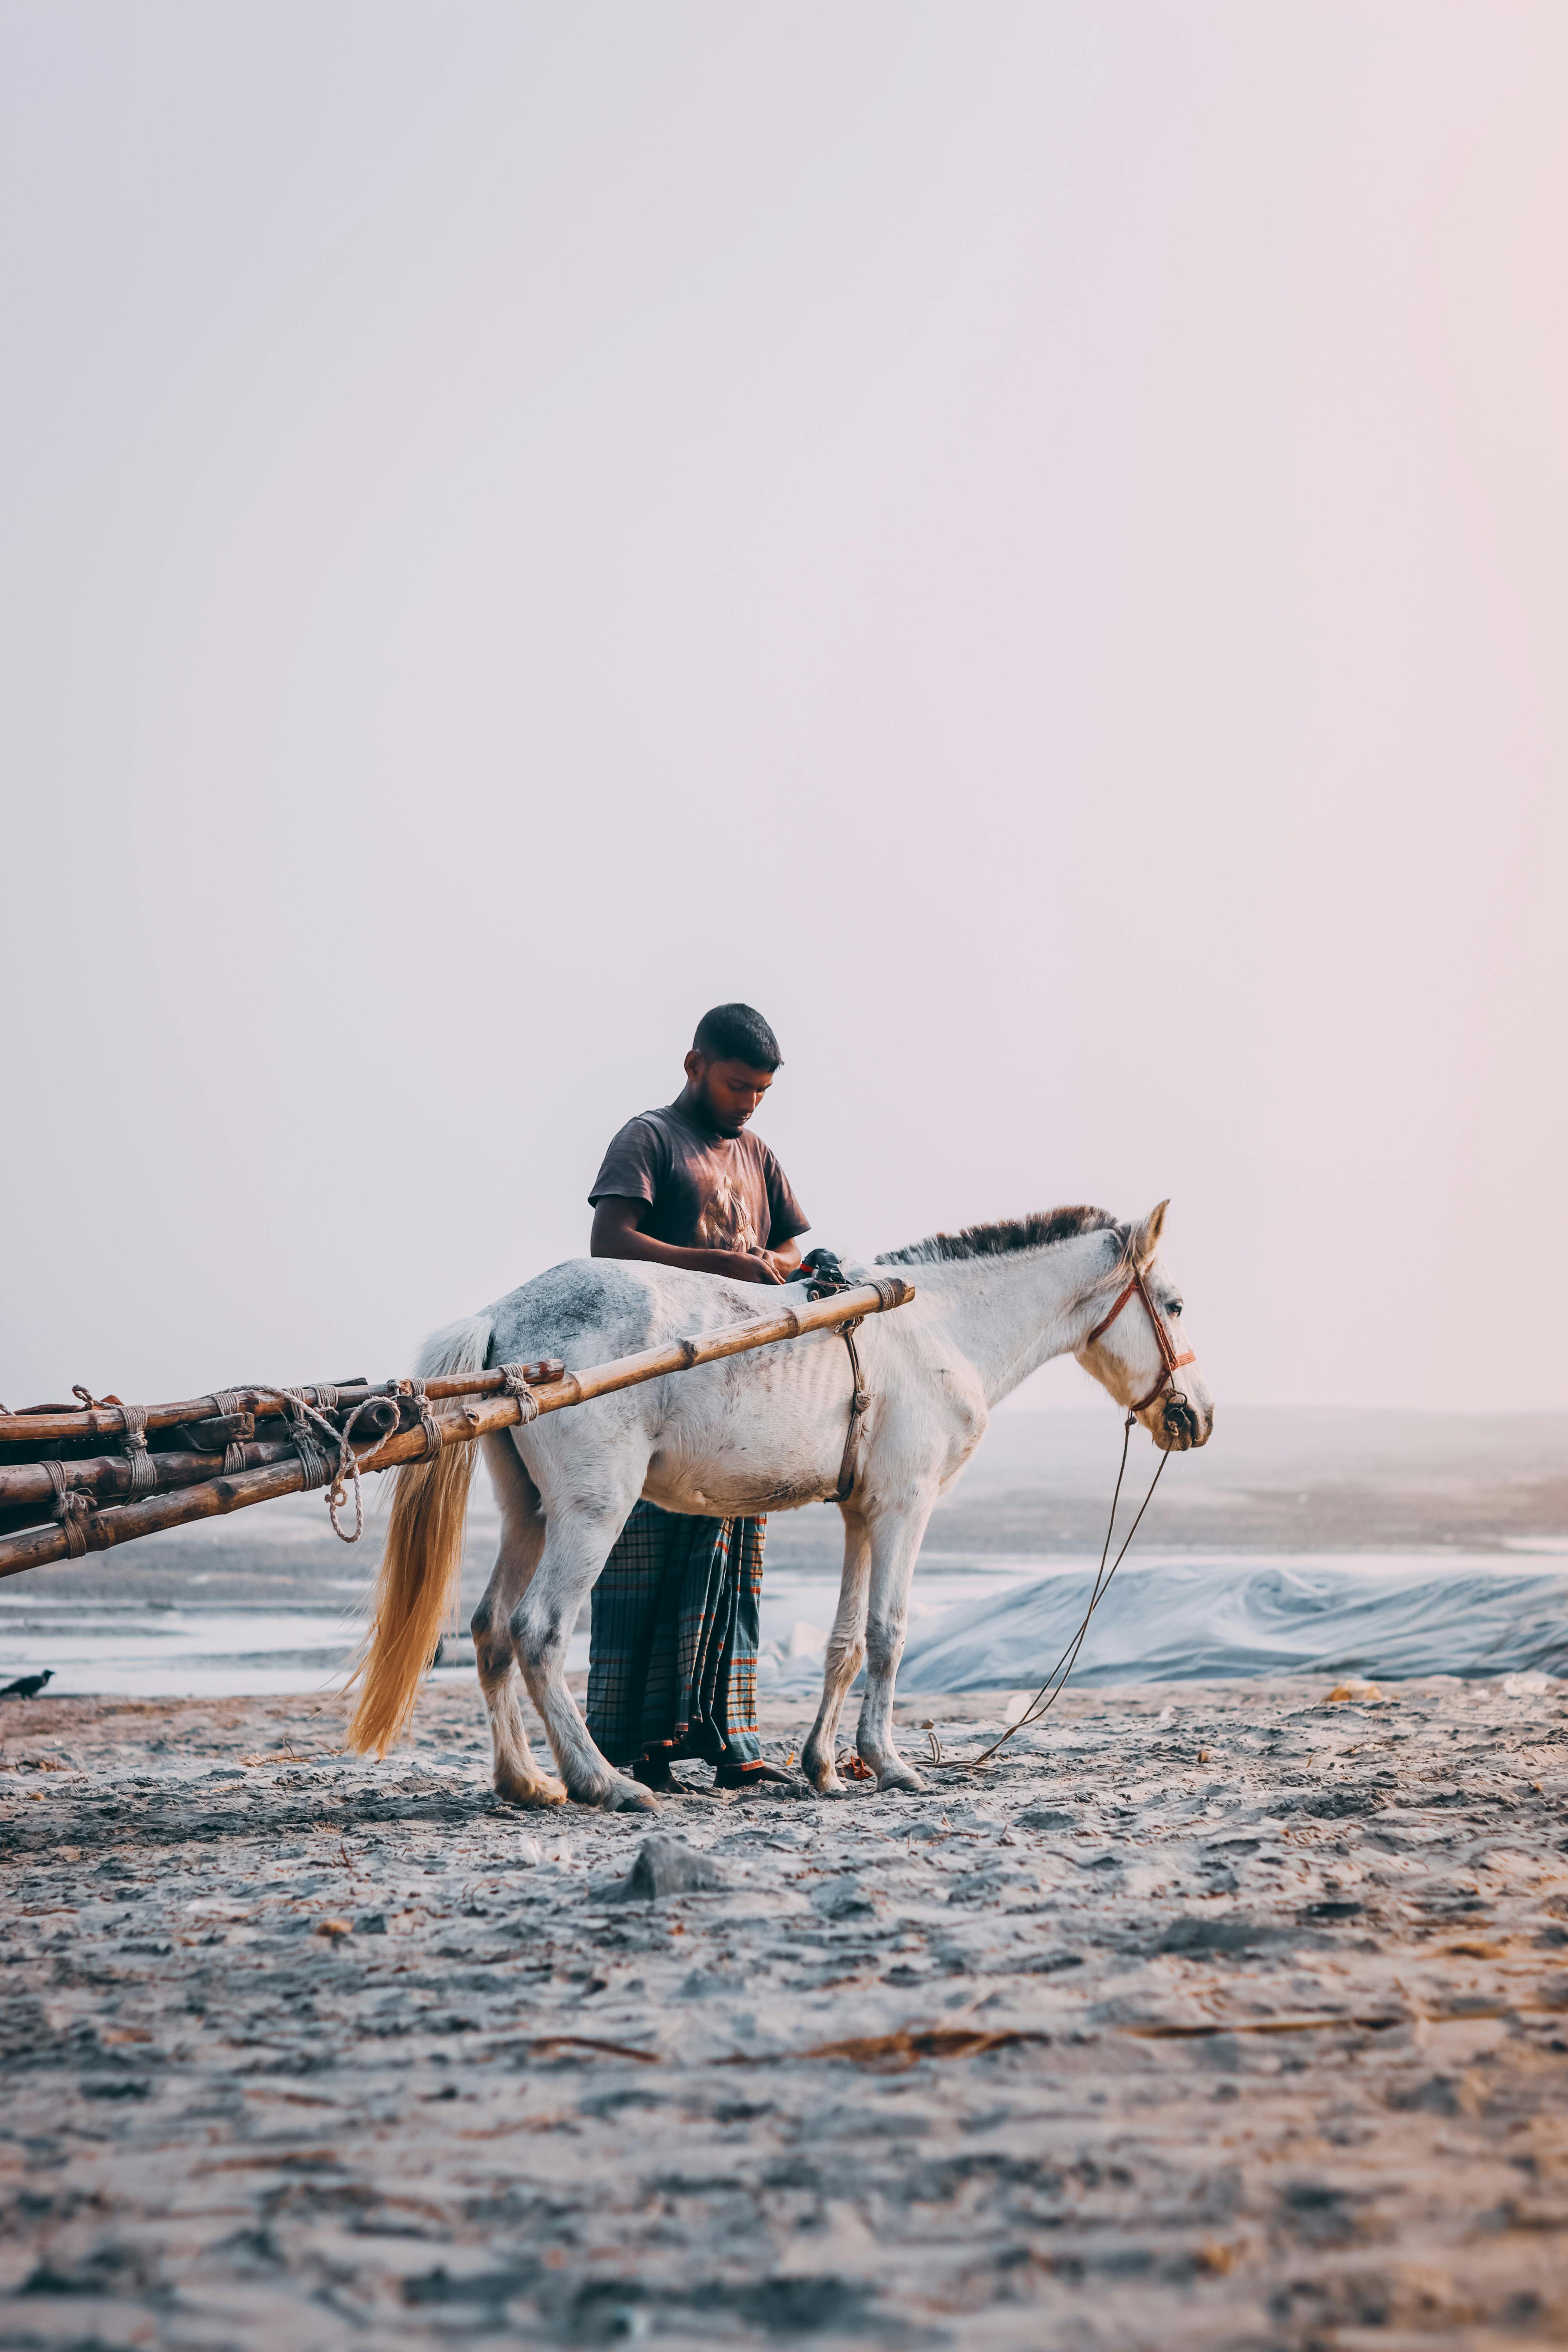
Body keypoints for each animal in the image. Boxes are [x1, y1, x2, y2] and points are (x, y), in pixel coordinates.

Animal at [350, 1204, 1222, 1806]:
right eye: (1176, 1304)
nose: (1199, 1417)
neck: (937, 1329)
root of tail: (502, 1315)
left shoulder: (861, 1513)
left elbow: (843, 1643)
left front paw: (825, 1768)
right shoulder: (905, 1507)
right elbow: (888, 1635)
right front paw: (891, 1765)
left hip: (529, 1512)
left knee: (491, 1630)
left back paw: (527, 1783)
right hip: (592, 1513)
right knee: (538, 1632)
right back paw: (606, 1781)